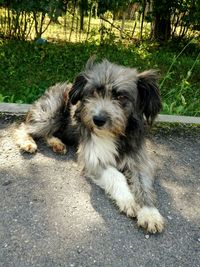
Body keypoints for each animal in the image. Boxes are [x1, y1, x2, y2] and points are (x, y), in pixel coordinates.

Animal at [15, 58, 164, 232]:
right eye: (93, 92)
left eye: (121, 97)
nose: (98, 120)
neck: (113, 134)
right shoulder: (92, 158)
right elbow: (117, 176)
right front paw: (128, 200)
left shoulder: (140, 160)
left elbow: (143, 185)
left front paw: (150, 213)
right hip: (50, 115)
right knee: (24, 127)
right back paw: (27, 142)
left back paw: (56, 143)